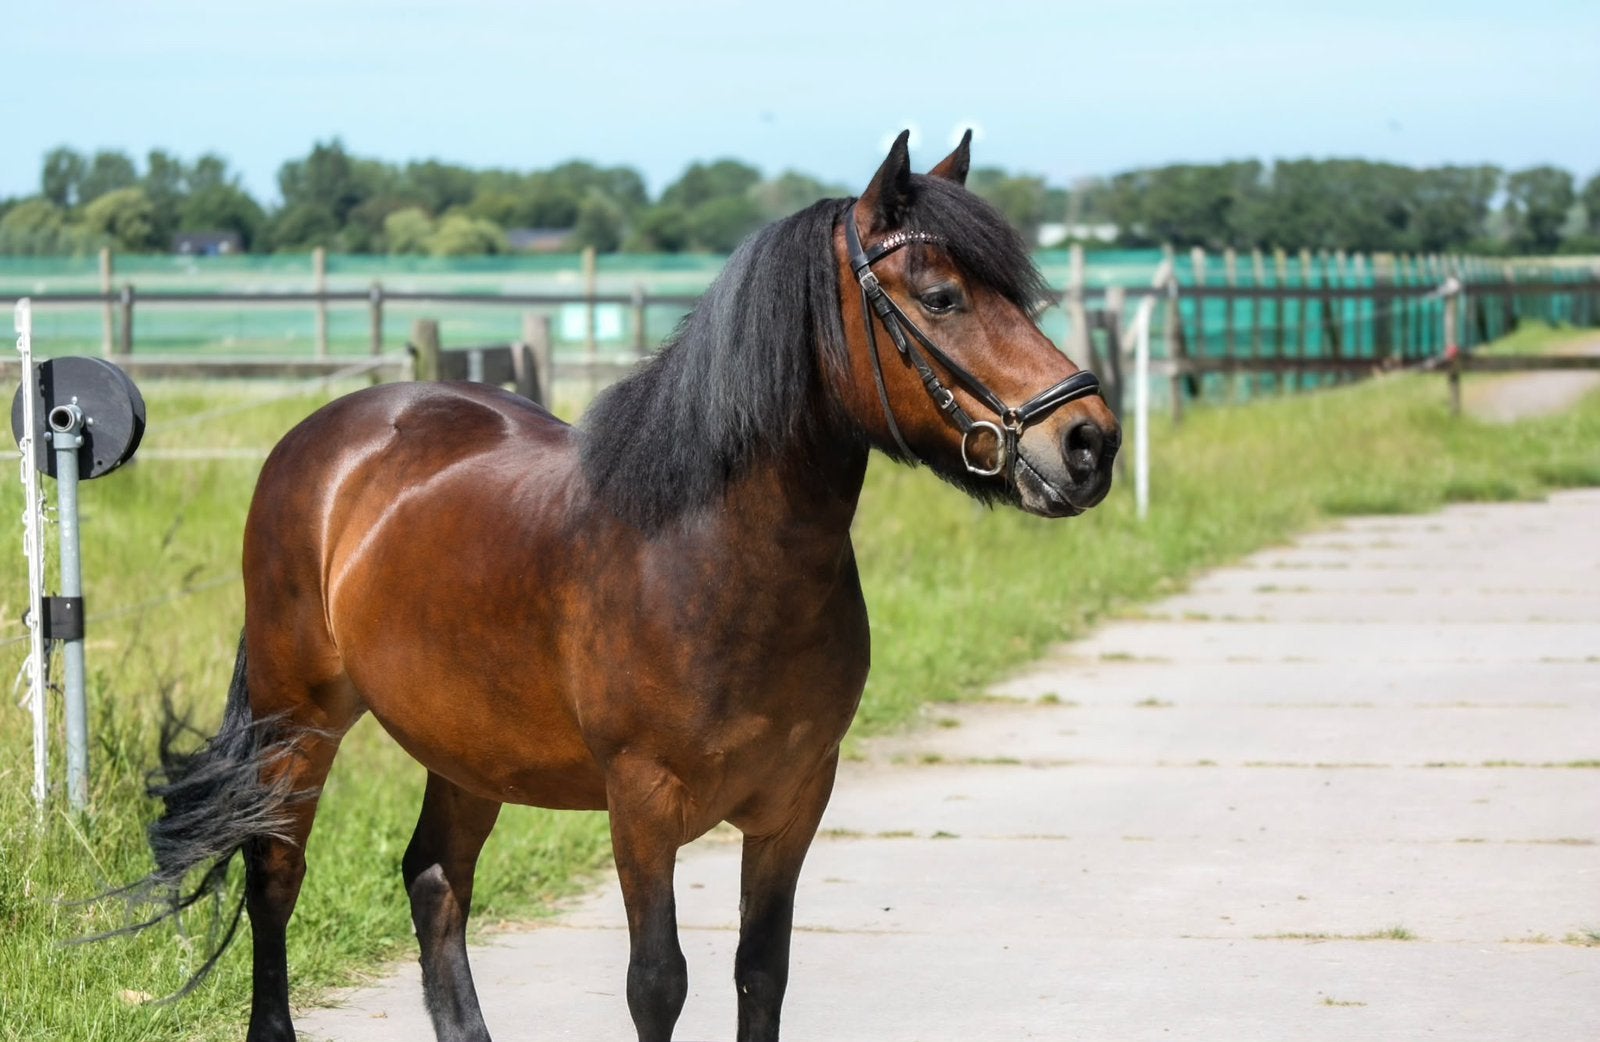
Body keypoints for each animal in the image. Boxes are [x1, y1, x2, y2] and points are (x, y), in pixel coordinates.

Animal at [113, 130, 1119, 1042]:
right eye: (942, 297)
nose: (1090, 442)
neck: (713, 559)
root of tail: (327, 437)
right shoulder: (643, 803)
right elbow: (658, 984)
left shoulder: (795, 803)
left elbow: (762, 973)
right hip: (299, 718)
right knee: (275, 875)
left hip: (466, 752)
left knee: (435, 882)